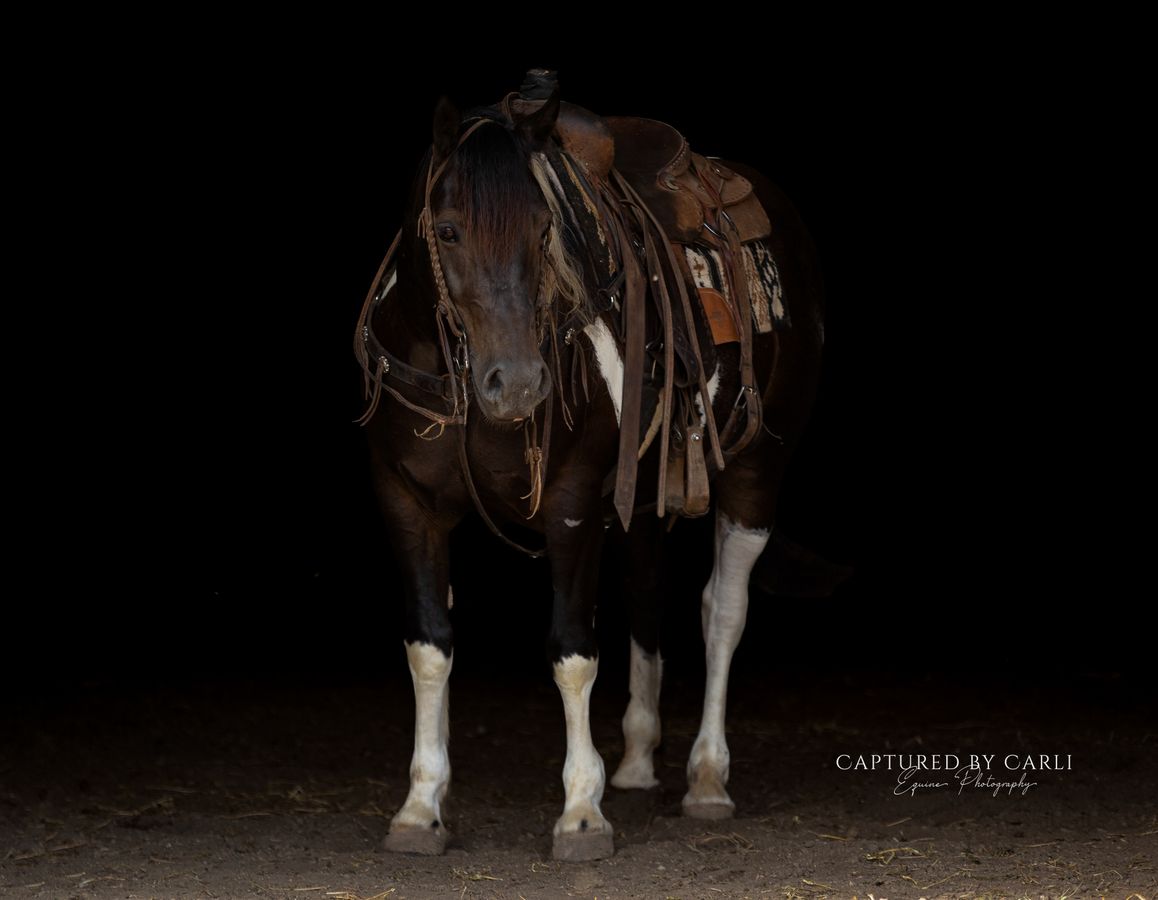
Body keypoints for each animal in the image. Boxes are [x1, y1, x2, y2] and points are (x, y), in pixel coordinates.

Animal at [354, 77, 826, 861]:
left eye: (543, 232)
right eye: (447, 230)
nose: (515, 385)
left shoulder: (571, 502)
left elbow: (573, 651)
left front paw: (581, 811)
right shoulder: (405, 502)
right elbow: (429, 644)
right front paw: (421, 806)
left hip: (757, 473)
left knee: (723, 612)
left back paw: (706, 779)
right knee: (649, 593)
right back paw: (637, 761)